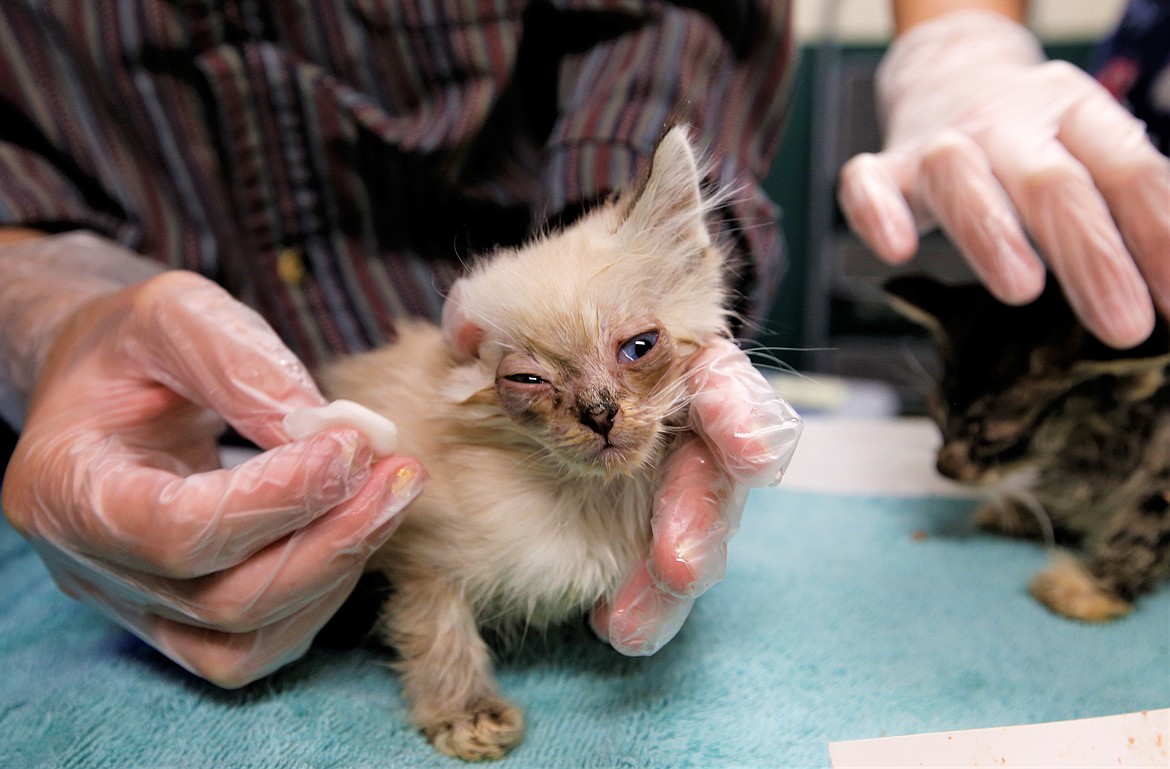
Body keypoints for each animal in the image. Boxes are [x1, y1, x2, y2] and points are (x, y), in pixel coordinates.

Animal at [318, 127, 730, 763]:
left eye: (639, 347)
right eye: (527, 380)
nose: (600, 414)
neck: (587, 500)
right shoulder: (418, 548)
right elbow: (436, 624)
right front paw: (466, 715)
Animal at [884, 276, 1170, 622]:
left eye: (994, 440)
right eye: (937, 418)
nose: (944, 469)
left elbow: (1149, 526)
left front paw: (1091, 588)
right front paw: (1038, 515)